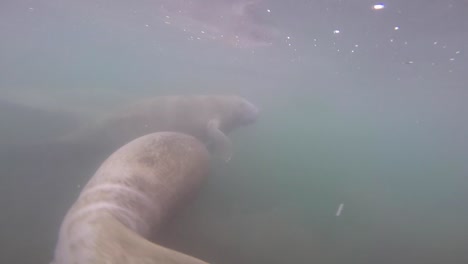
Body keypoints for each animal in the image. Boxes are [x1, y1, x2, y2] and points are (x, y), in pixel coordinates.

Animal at [61, 94, 260, 162]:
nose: (258, 111)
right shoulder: (214, 119)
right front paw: (225, 156)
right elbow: (218, 135)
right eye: (242, 104)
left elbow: (213, 138)